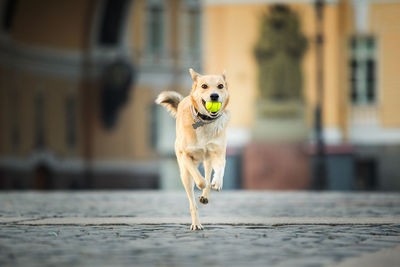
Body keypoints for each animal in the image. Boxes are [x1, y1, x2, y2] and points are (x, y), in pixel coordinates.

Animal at [156, 68, 231, 230]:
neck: (204, 122)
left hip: (208, 160)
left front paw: (217, 183)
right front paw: (202, 182)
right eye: (204, 86)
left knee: (208, 173)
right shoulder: (185, 156)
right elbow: (200, 180)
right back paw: (196, 224)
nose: (214, 96)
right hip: (184, 175)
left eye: (220, 86)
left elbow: (219, 169)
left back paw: (205, 195)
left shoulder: (219, 153)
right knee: (192, 200)